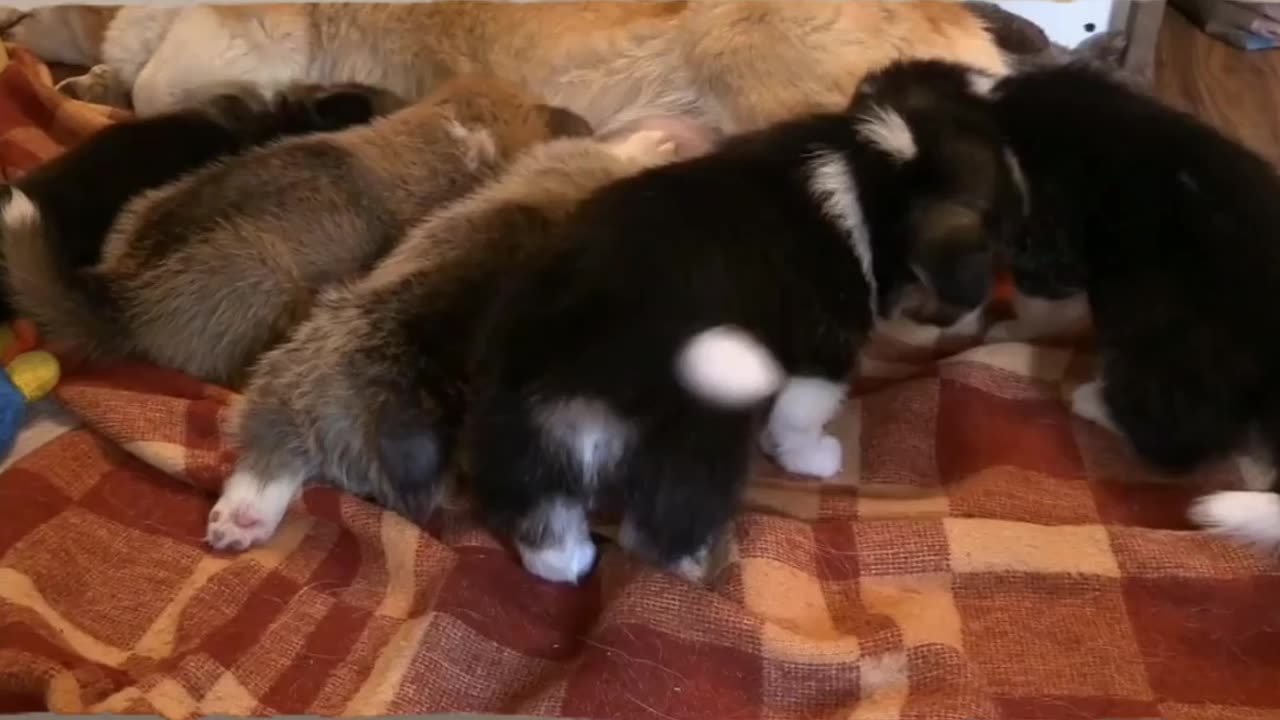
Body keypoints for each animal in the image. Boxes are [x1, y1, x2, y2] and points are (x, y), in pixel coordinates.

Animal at [465, 65, 1024, 584]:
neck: (869, 161)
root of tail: (581, 355)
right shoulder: (824, 355)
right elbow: (800, 418)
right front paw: (813, 456)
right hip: (701, 438)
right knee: (655, 531)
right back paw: (698, 566)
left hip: (516, 436)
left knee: (544, 529)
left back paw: (573, 560)